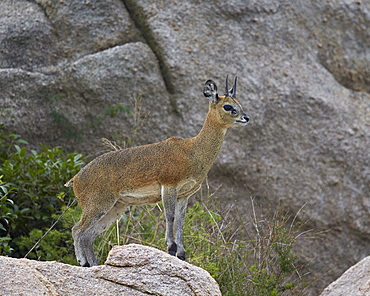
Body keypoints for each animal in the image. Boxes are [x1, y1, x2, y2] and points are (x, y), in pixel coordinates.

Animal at [65, 75, 250, 266]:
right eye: (228, 106)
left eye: (239, 103)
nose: (246, 117)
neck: (192, 151)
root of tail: (75, 178)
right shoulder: (169, 185)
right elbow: (170, 216)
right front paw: (171, 247)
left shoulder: (185, 194)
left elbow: (181, 221)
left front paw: (181, 253)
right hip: (97, 205)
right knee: (77, 230)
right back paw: (83, 262)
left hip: (115, 207)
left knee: (88, 234)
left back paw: (92, 264)